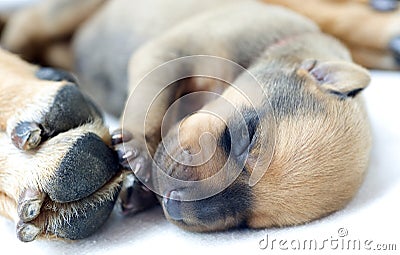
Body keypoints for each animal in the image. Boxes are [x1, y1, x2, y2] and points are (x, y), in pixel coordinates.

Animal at [0, 0, 394, 241]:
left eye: (249, 223)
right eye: (246, 139)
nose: (174, 203)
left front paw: (140, 191)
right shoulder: (171, 52)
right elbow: (150, 99)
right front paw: (138, 149)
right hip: (62, 13)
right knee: (24, 28)